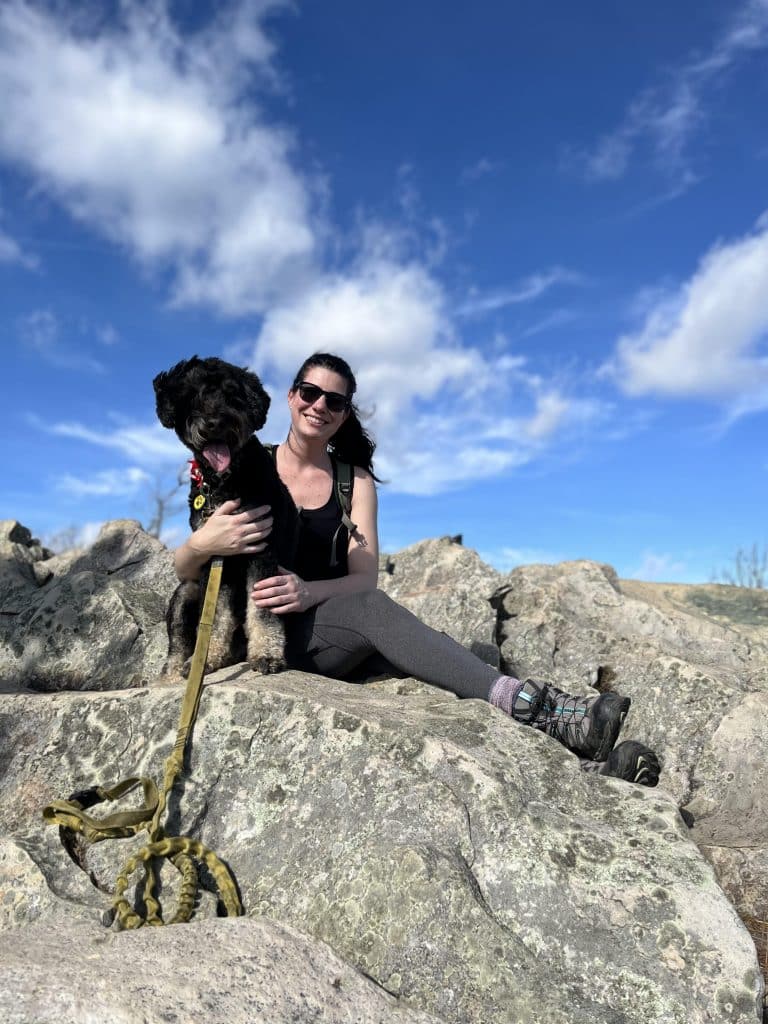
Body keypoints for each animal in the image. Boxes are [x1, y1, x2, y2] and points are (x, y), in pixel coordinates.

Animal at [153, 354, 296, 679]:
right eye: (192, 395)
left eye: (232, 395)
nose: (215, 422)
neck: (224, 482)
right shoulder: (215, 554)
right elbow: (218, 613)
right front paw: (206, 659)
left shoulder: (262, 549)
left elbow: (262, 610)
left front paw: (267, 654)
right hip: (186, 591)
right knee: (179, 639)